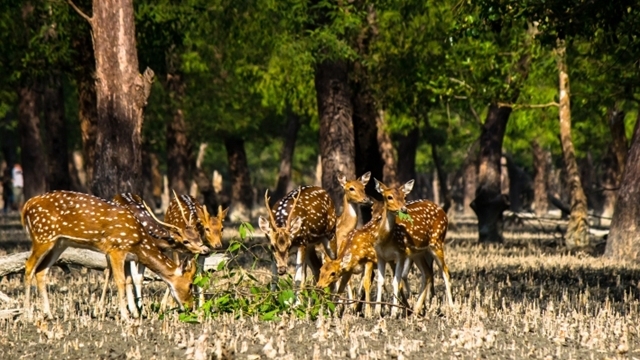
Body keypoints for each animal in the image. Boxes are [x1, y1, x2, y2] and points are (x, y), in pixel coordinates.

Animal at [22, 191, 198, 320]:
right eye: (190, 284)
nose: (190, 307)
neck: (139, 241)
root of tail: (27, 205)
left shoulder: (126, 254)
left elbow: (128, 280)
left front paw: (134, 313)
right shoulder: (116, 248)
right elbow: (120, 281)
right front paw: (125, 316)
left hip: (59, 243)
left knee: (41, 271)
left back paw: (49, 315)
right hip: (43, 236)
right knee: (29, 267)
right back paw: (28, 315)